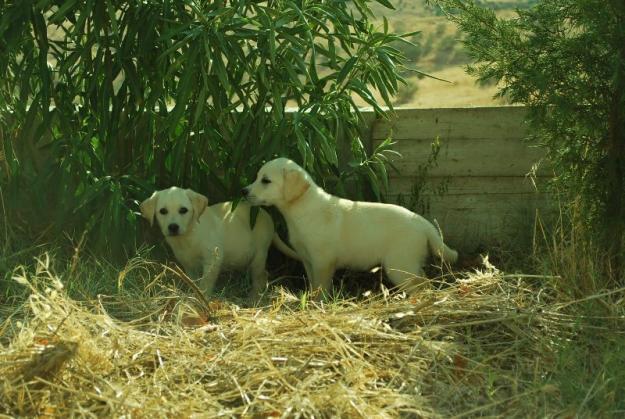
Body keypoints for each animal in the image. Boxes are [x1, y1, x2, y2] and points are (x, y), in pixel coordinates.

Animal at [141, 187, 298, 298]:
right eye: (163, 211)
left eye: (183, 210)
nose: (173, 227)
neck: (189, 235)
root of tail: (267, 216)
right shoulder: (188, 265)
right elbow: (193, 282)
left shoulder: (213, 259)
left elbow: (205, 283)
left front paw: (203, 299)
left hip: (259, 255)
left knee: (260, 277)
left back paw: (253, 298)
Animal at [241, 158, 456, 296]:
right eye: (257, 177)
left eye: (266, 181)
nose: (243, 191)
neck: (303, 208)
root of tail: (422, 222)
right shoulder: (308, 259)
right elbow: (313, 285)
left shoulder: (323, 262)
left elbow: (321, 288)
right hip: (408, 264)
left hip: (400, 265)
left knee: (422, 284)